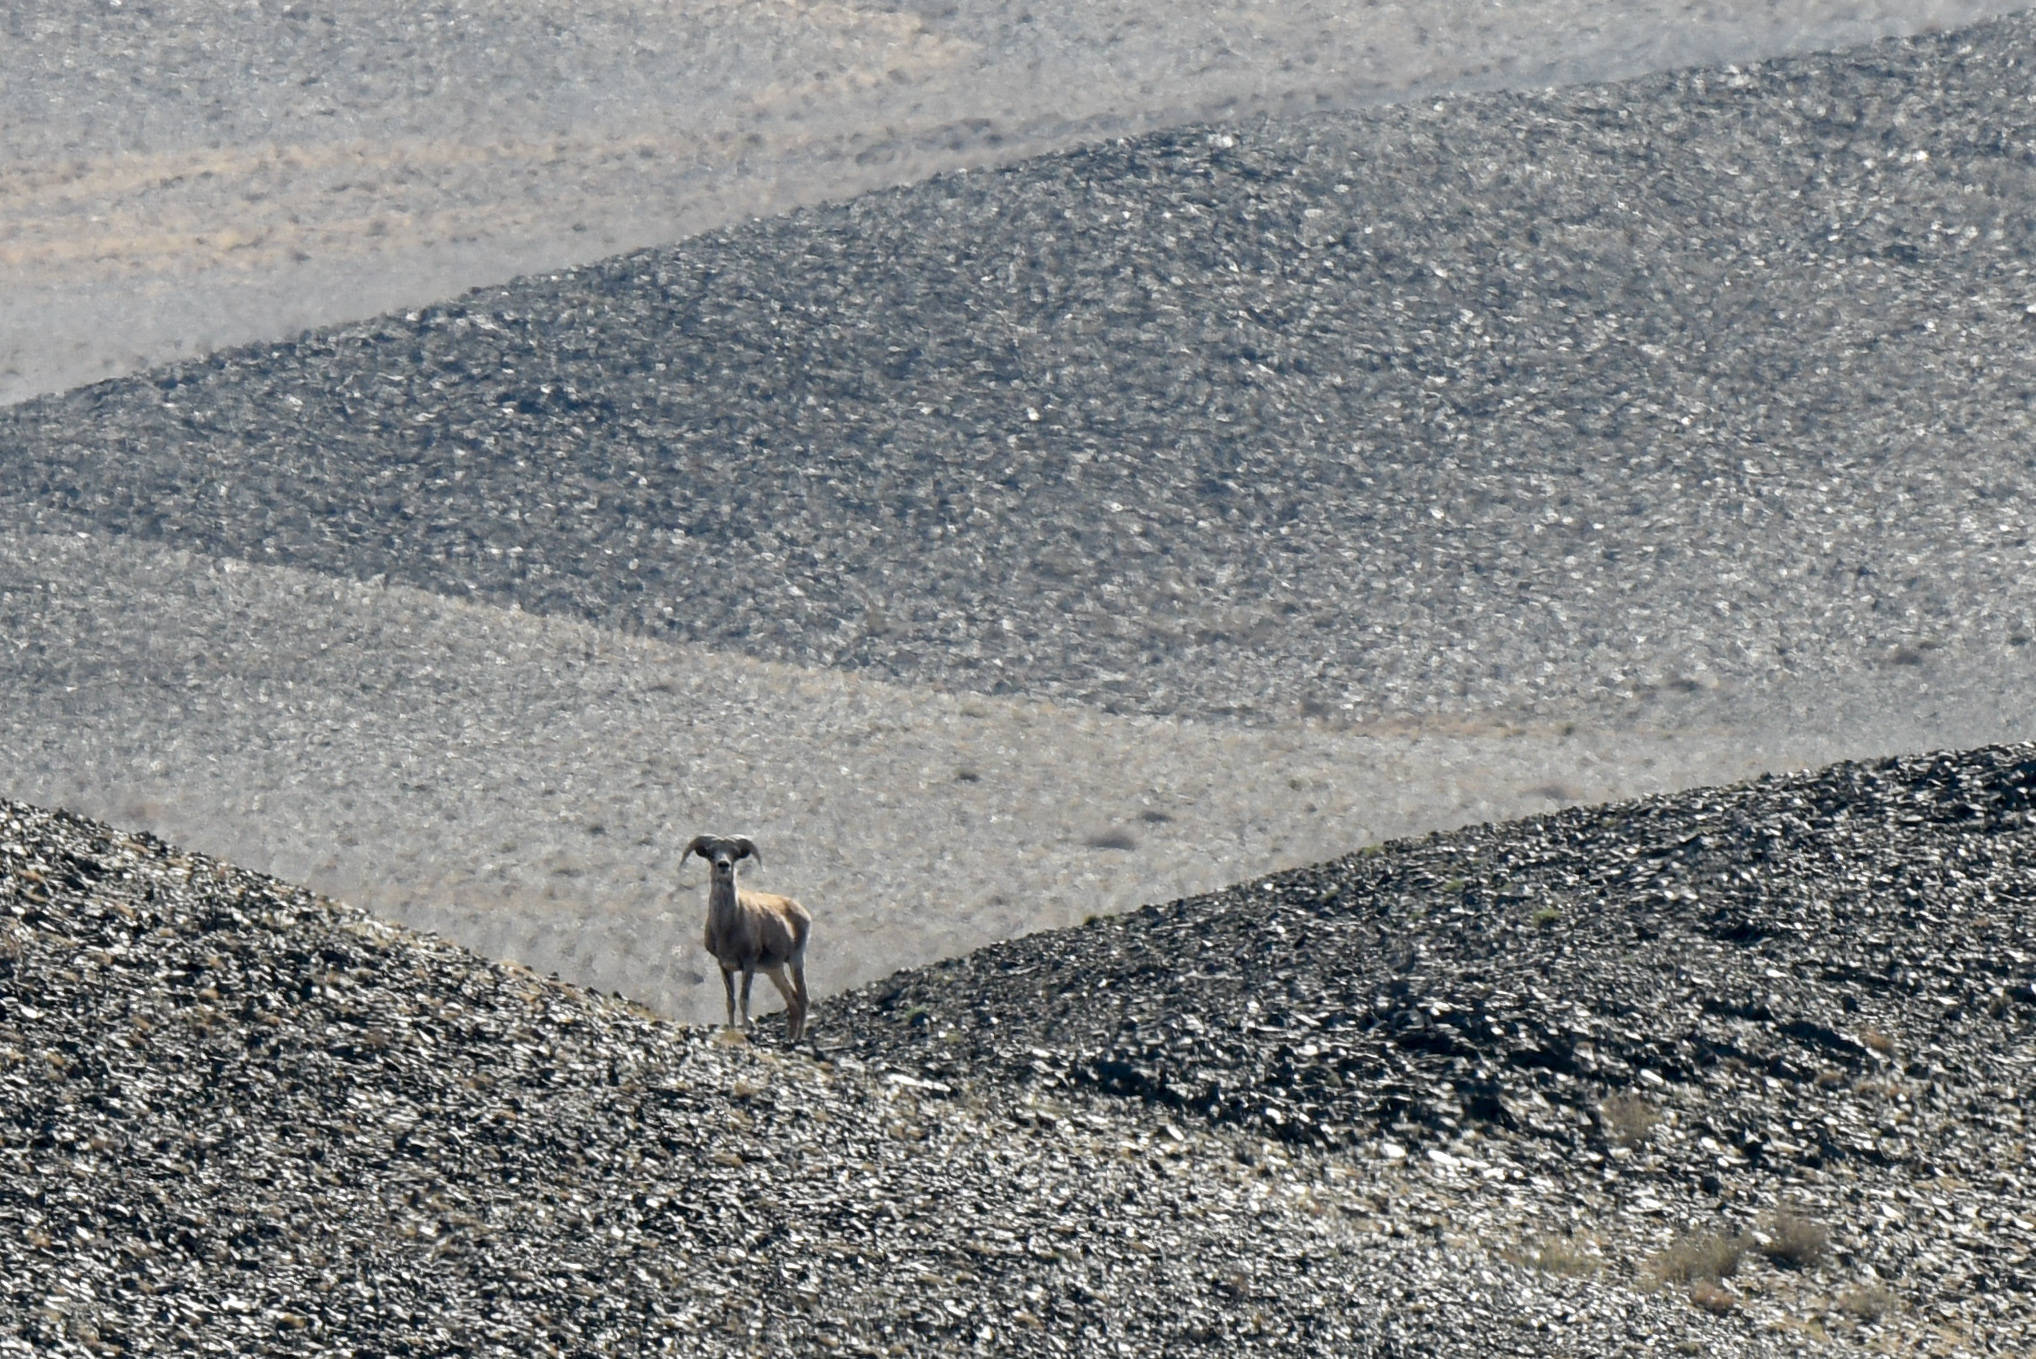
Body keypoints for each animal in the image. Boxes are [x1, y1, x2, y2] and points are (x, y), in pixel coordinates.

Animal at [684, 831, 810, 1043]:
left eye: (734, 853)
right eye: (711, 853)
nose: (723, 865)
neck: (726, 928)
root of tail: (803, 912)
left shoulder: (748, 963)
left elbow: (744, 999)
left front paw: (747, 1031)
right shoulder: (724, 965)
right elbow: (730, 1001)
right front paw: (732, 1029)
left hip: (795, 960)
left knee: (802, 998)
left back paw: (798, 1038)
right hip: (774, 970)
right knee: (792, 1001)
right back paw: (789, 1038)